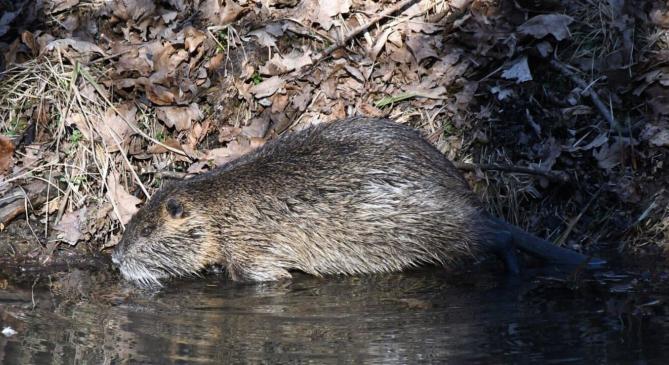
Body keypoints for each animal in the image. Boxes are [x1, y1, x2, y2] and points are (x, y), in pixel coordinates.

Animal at [111, 118, 604, 286]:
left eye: (149, 229)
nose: (115, 258)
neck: (222, 203)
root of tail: (465, 193)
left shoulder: (254, 245)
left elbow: (258, 275)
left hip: (433, 223)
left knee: (494, 236)